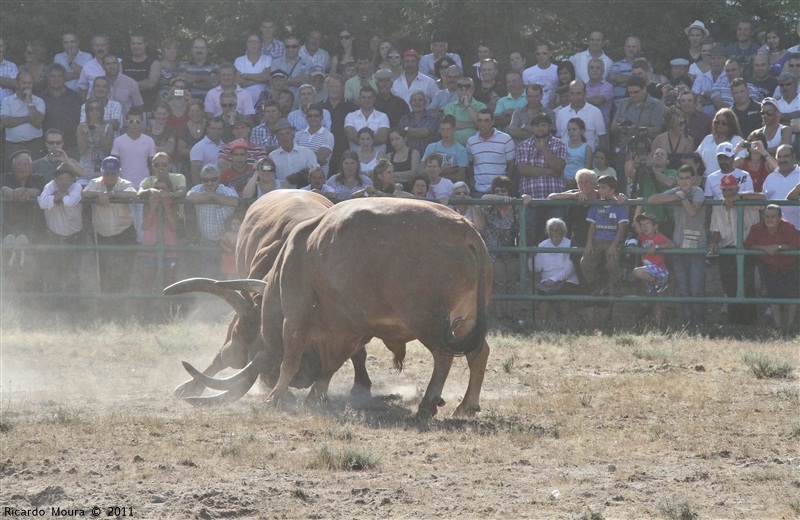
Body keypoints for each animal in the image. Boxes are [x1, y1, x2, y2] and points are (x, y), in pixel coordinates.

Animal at [196, 199, 490, 418]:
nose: (299, 383)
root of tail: (466, 230)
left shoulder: (296, 316)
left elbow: (291, 357)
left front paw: (276, 396)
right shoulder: (349, 330)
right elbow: (333, 364)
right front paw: (316, 394)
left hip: (427, 323)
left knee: (443, 357)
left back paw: (428, 403)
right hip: (466, 320)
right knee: (479, 352)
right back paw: (466, 405)